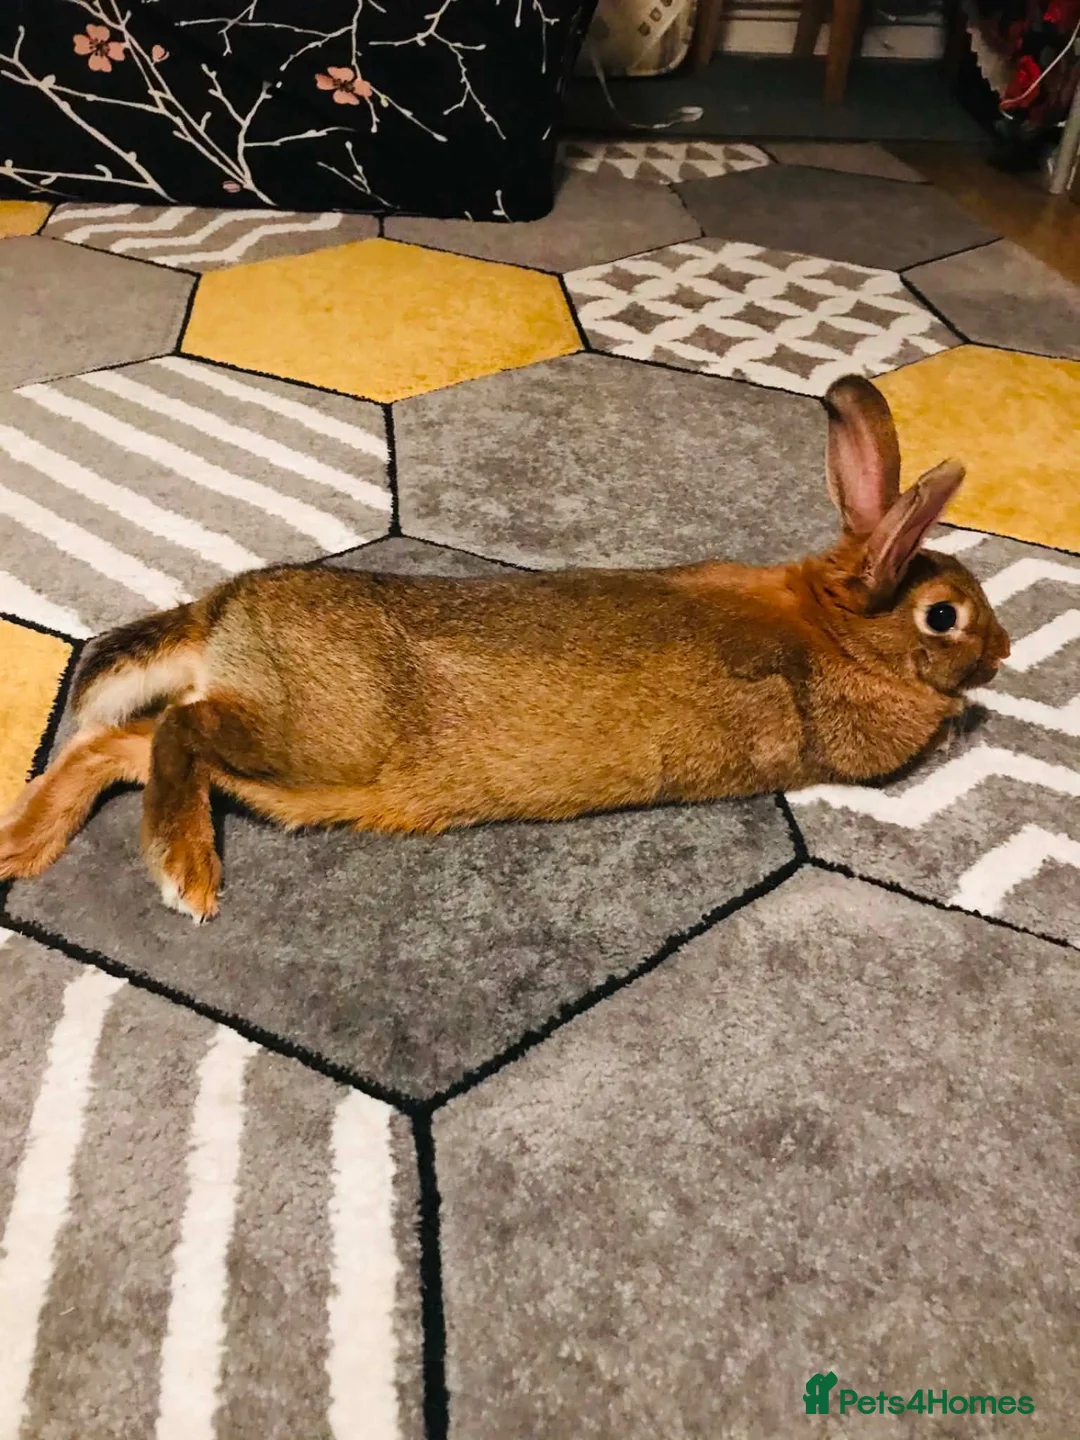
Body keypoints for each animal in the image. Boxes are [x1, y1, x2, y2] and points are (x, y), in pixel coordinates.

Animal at [0, 374, 1009, 922]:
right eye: (945, 616)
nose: (1001, 653)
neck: (839, 626)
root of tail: (221, 613)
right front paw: (963, 713)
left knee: (113, 745)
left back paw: (21, 846)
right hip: (310, 740)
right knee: (178, 734)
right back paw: (185, 874)